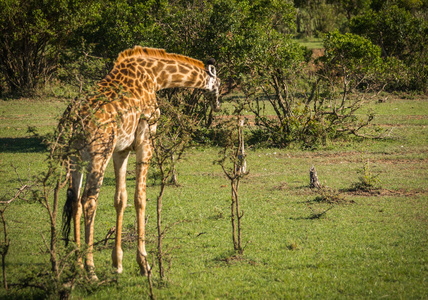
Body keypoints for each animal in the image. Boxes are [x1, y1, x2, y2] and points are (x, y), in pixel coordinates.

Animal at [62, 45, 221, 278]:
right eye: (219, 82)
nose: (218, 104)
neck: (157, 76)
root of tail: (73, 119)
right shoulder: (145, 138)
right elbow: (140, 197)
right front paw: (144, 264)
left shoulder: (121, 149)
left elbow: (121, 199)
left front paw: (117, 262)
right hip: (99, 153)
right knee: (89, 200)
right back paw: (90, 270)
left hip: (74, 156)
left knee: (74, 200)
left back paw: (78, 265)